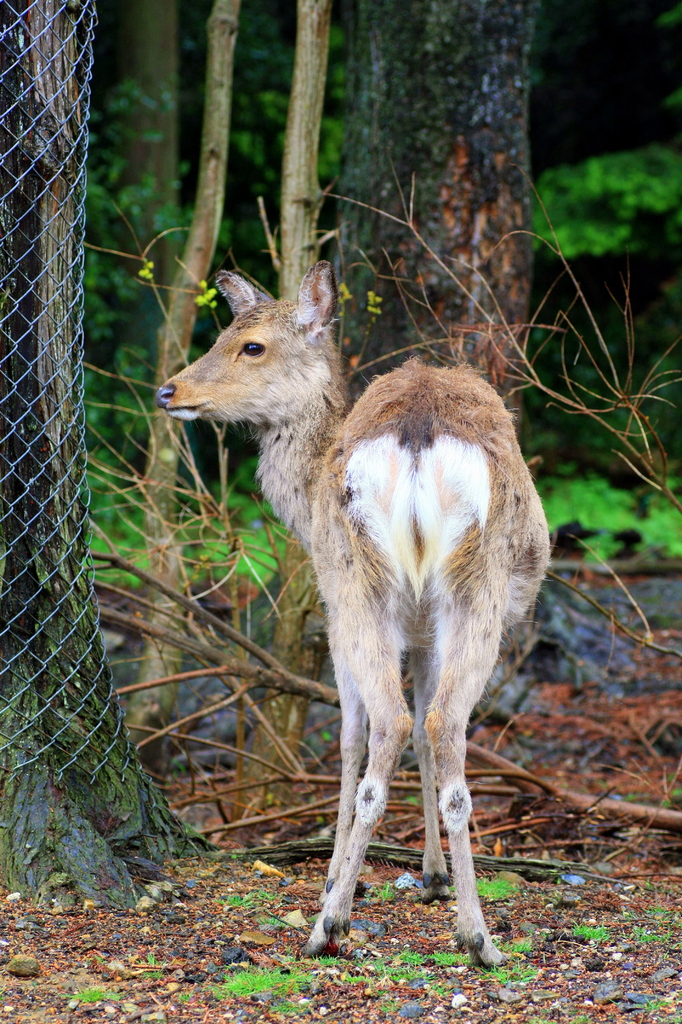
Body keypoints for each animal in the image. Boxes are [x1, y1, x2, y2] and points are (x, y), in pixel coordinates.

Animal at [153, 260, 548, 962]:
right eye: (223, 332)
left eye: (251, 345)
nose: (169, 391)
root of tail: (417, 437)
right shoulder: (421, 631)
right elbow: (423, 731)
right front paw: (431, 875)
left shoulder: (334, 610)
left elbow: (348, 737)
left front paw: (339, 877)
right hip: (468, 593)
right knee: (441, 724)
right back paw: (476, 934)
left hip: (364, 584)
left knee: (385, 723)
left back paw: (328, 924)